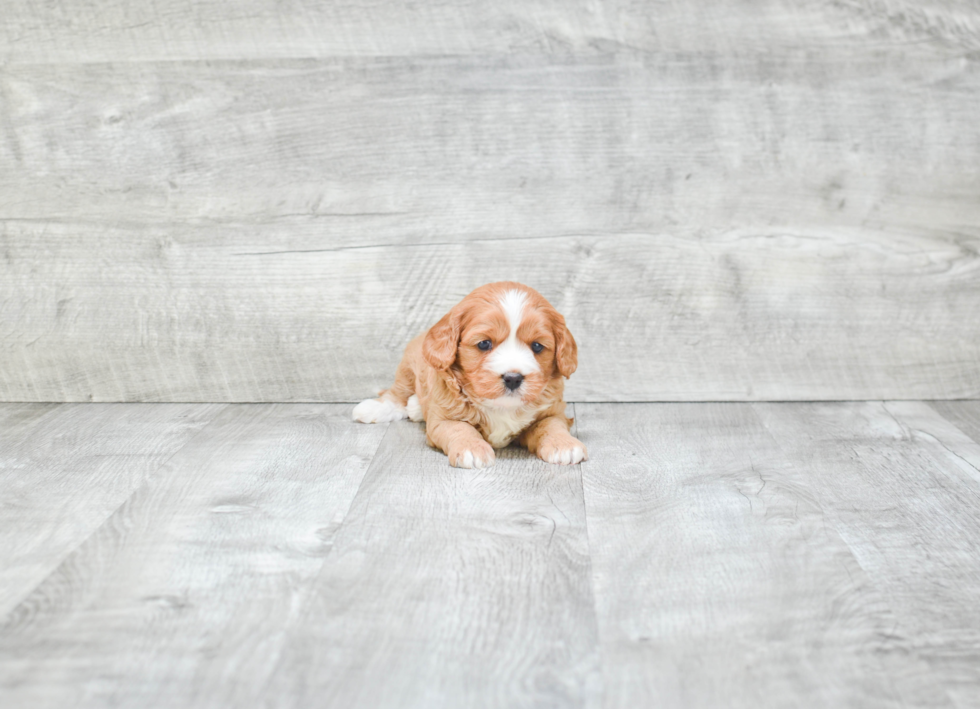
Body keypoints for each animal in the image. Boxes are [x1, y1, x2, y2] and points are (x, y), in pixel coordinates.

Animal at [352, 280, 584, 468]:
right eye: (484, 344)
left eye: (536, 346)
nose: (513, 378)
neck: (501, 406)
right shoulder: (443, 419)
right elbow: (460, 428)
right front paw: (472, 448)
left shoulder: (553, 411)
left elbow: (551, 425)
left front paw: (564, 444)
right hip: (408, 365)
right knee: (397, 393)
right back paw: (375, 408)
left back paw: (416, 407)